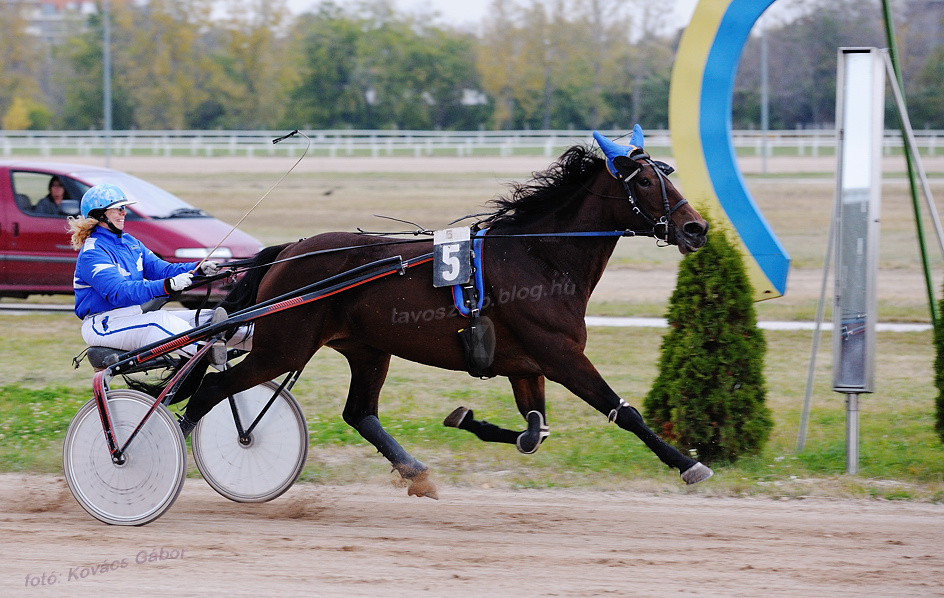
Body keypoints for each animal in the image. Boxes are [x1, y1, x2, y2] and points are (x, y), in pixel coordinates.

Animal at [184, 129, 712, 500]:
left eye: (665, 174)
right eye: (646, 180)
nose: (696, 228)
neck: (540, 255)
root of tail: (290, 251)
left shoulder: (527, 367)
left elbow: (534, 432)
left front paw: (466, 419)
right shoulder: (562, 356)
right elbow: (625, 412)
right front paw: (689, 464)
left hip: (367, 349)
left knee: (359, 413)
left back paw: (416, 473)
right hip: (283, 347)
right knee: (210, 390)